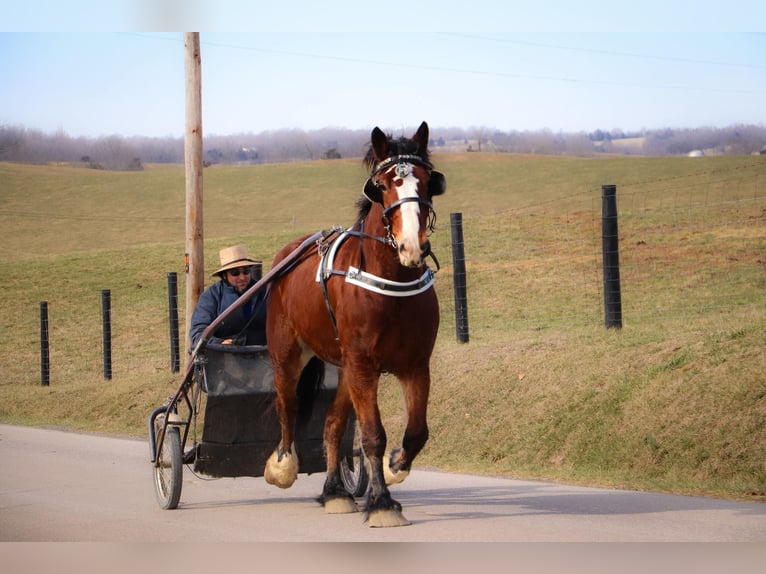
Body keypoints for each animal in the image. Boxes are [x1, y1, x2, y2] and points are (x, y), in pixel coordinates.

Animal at [266, 122, 448, 532]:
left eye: (429, 181)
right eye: (381, 185)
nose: (412, 246)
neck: (392, 283)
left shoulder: (415, 365)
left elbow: (417, 431)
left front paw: (396, 466)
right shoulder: (364, 365)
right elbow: (372, 434)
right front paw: (381, 502)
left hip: (346, 368)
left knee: (332, 424)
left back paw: (335, 491)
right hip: (288, 353)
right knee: (286, 405)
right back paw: (283, 464)